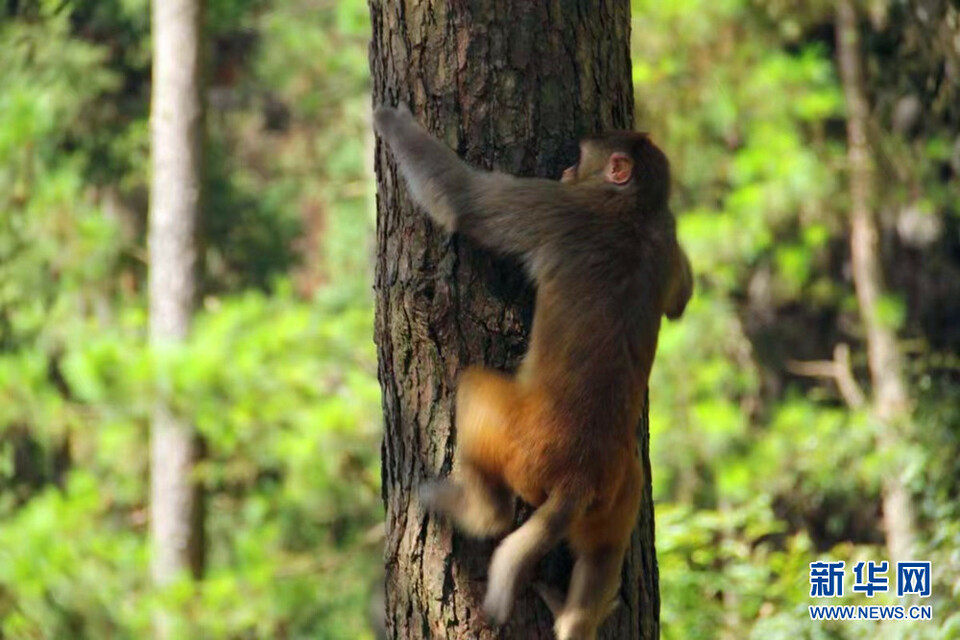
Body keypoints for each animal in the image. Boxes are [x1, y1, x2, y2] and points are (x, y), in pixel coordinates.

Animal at [372, 106, 692, 640]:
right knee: (603, 552)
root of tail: (578, 480)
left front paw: (387, 118)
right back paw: (573, 617)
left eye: (580, 158)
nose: (563, 169)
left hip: (517, 440)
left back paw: (479, 512)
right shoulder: (664, 231)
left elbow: (463, 200)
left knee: (475, 394)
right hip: (618, 494)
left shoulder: (562, 209)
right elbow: (682, 298)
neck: (631, 210)